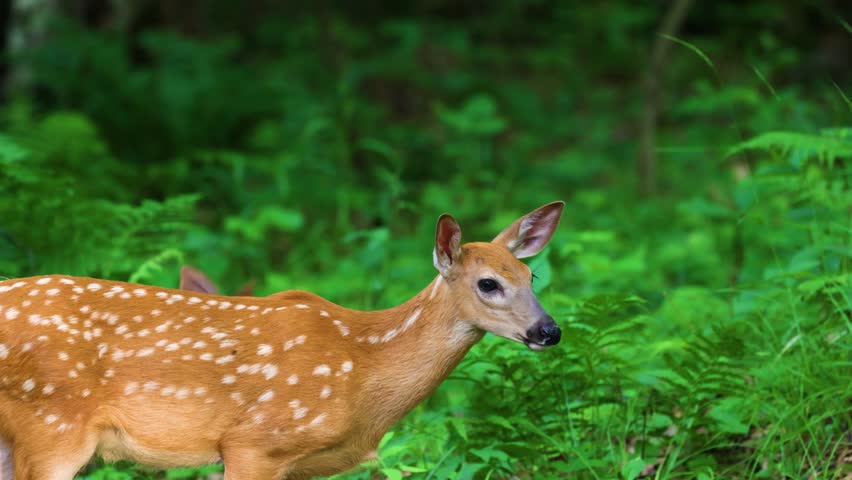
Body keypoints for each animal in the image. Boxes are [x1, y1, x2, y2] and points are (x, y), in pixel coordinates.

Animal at [0, 201, 564, 480]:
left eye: (531, 276)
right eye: (488, 284)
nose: (549, 330)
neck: (363, 369)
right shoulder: (255, 443)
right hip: (53, 425)